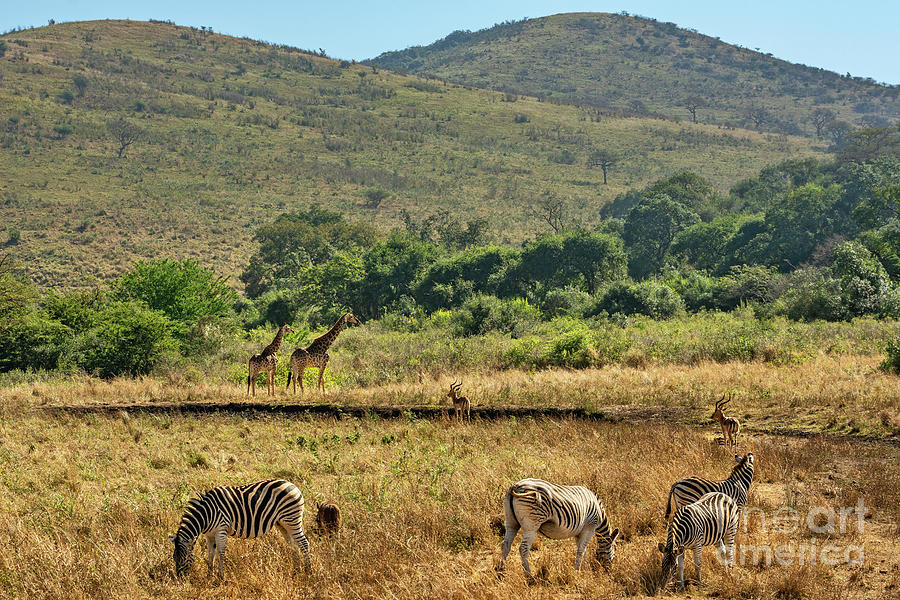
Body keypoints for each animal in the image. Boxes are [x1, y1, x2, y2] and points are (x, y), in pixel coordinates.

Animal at [167, 478, 312, 576]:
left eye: (184, 558)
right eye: (174, 558)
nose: (180, 578)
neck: (206, 515)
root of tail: (292, 485)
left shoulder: (221, 530)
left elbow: (220, 553)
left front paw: (220, 577)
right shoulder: (209, 534)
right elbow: (210, 554)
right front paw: (209, 574)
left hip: (292, 519)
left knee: (304, 543)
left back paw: (308, 571)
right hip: (283, 523)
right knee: (293, 545)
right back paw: (296, 568)